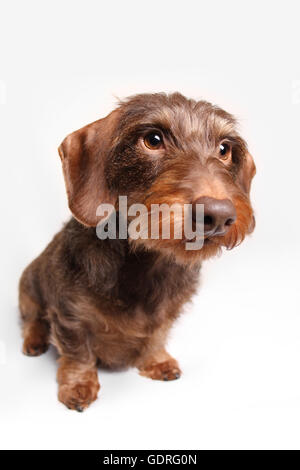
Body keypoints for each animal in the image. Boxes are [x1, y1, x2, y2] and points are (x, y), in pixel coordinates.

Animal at [18, 93, 254, 410]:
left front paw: (156, 361)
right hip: (28, 288)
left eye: (224, 149)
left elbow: (156, 335)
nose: (218, 215)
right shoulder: (69, 314)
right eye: (153, 140)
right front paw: (79, 384)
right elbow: (78, 351)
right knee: (31, 319)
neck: (147, 263)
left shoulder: (168, 313)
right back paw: (34, 340)